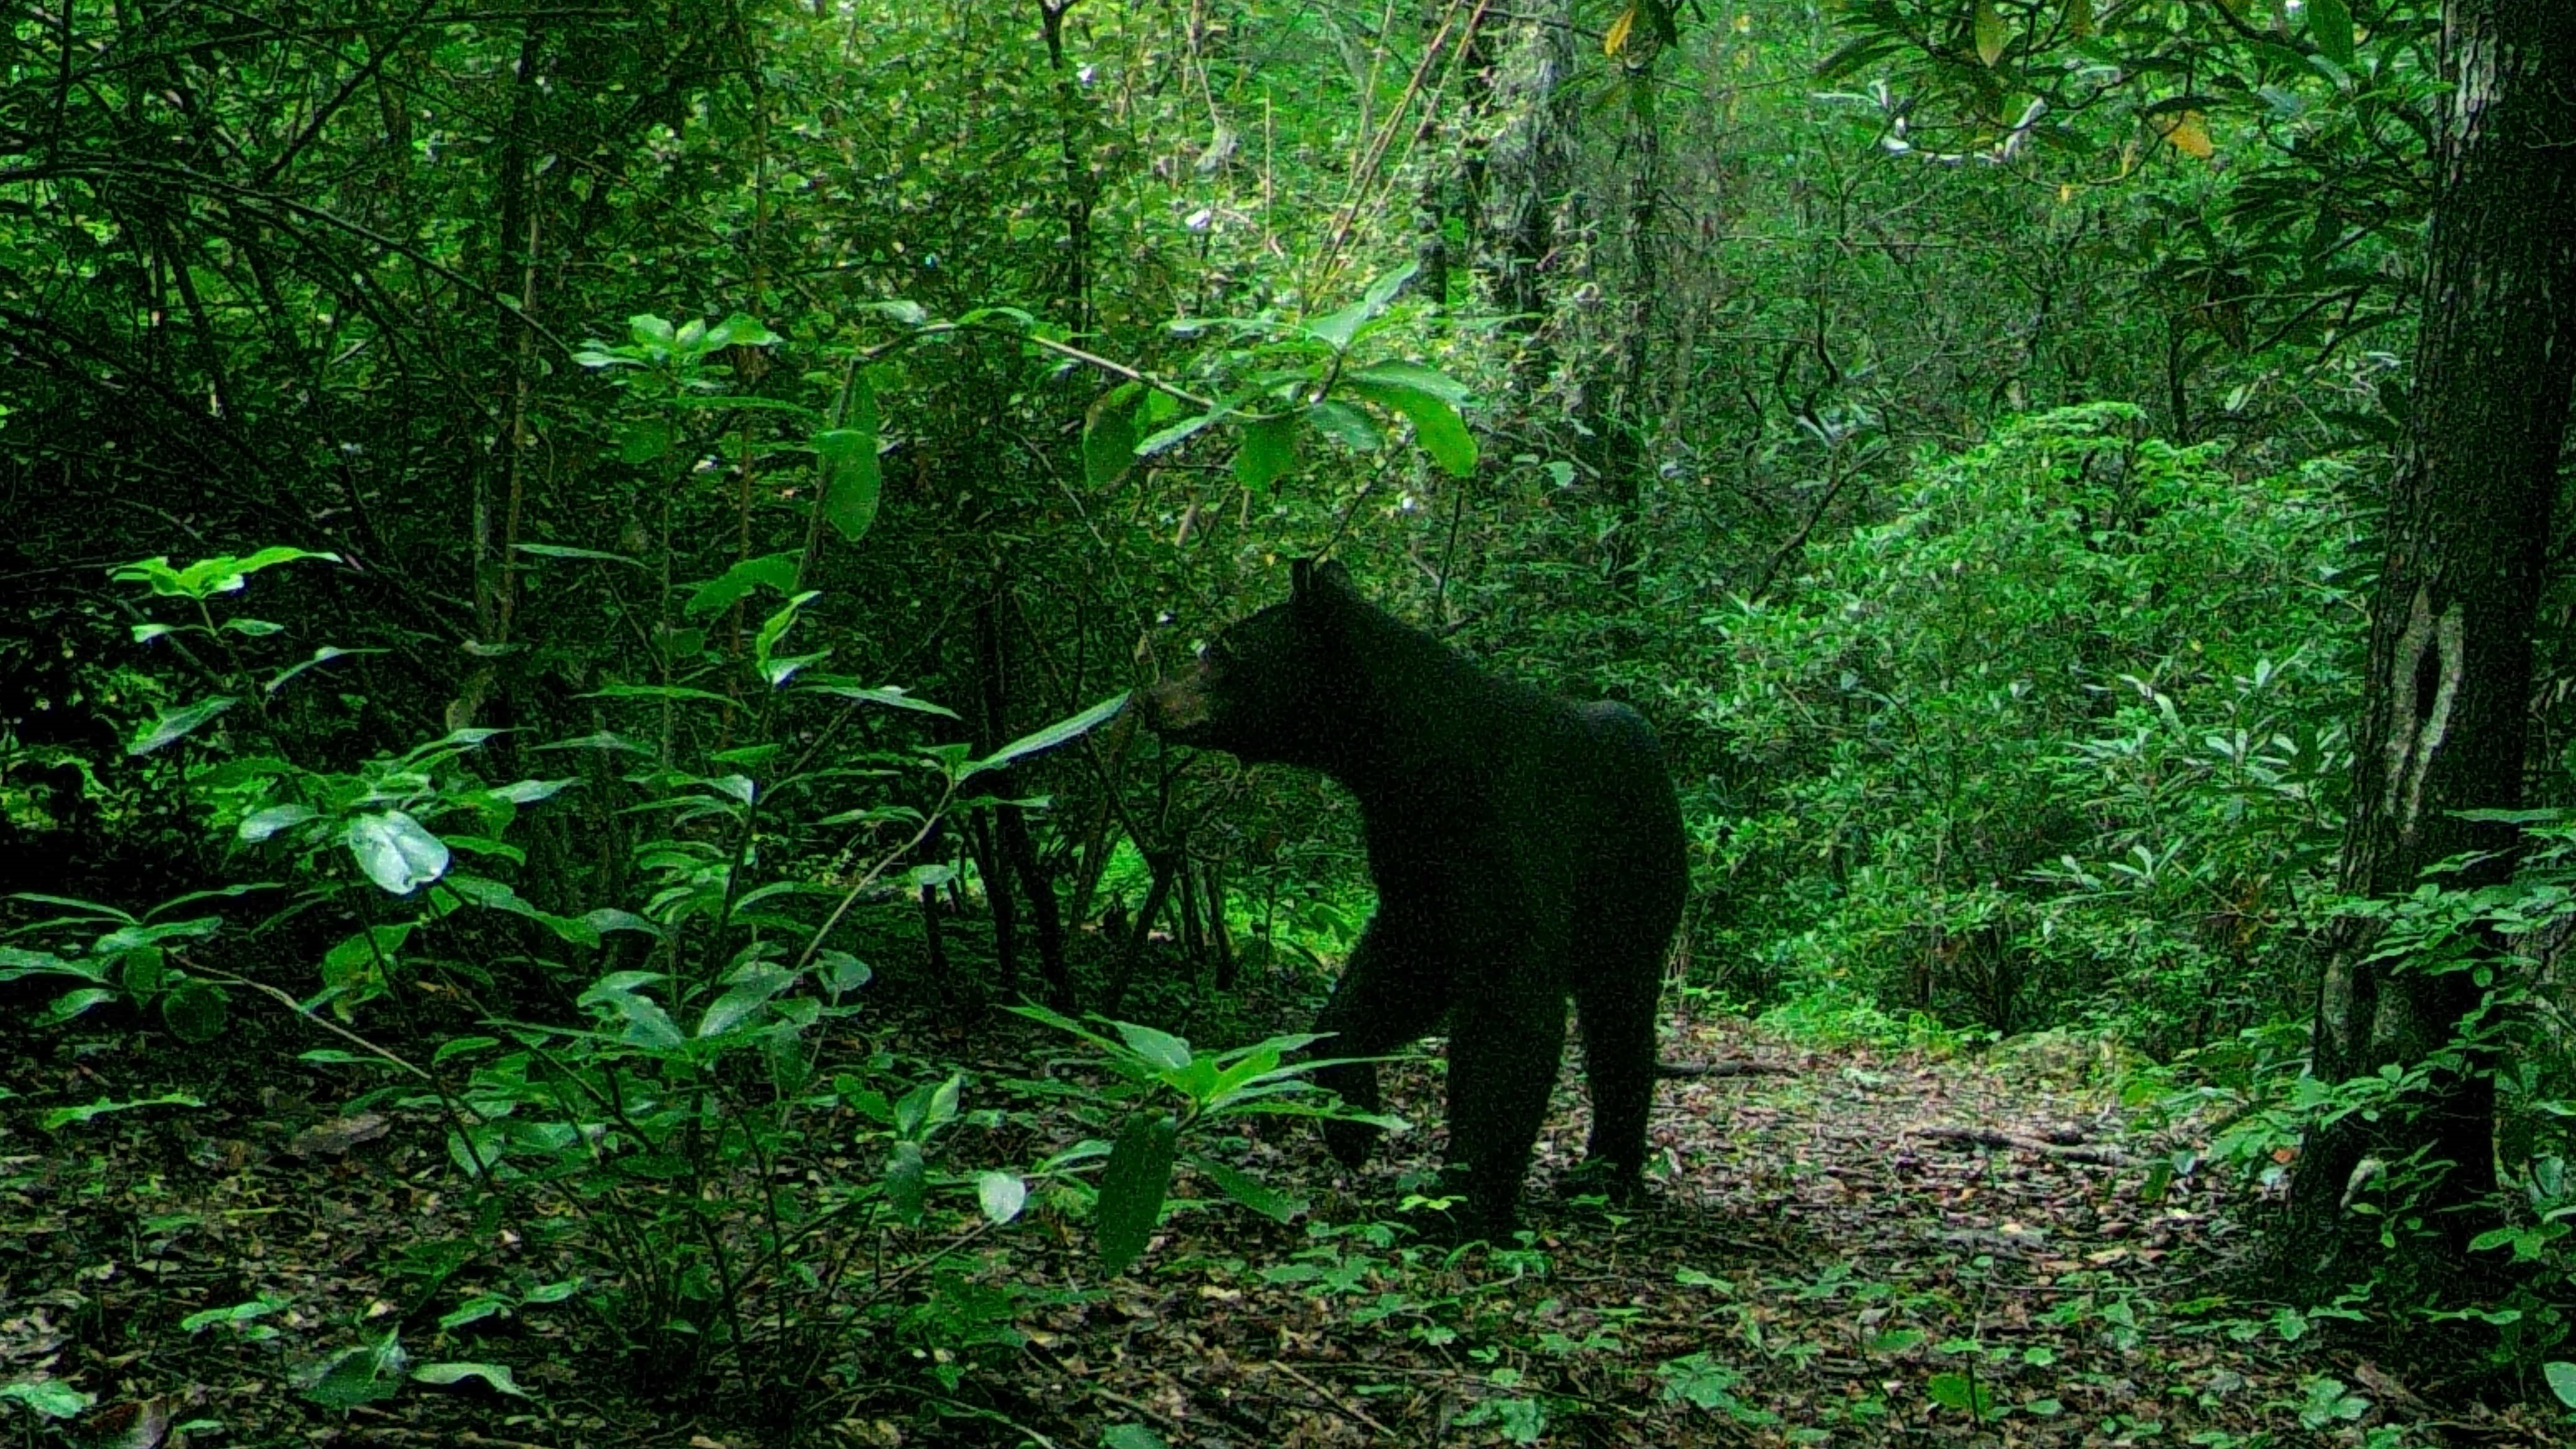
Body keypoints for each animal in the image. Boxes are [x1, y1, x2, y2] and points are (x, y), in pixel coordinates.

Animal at [1148, 559, 1689, 1222]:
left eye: (1222, 648)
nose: (1146, 697)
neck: (1413, 767)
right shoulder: (1415, 866)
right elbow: (1393, 975)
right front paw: (1352, 1123)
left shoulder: (1508, 841)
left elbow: (1510, 1015)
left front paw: (1466, 1199)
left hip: (1634, 896)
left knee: (1620, 1023)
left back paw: (1607, 1171)